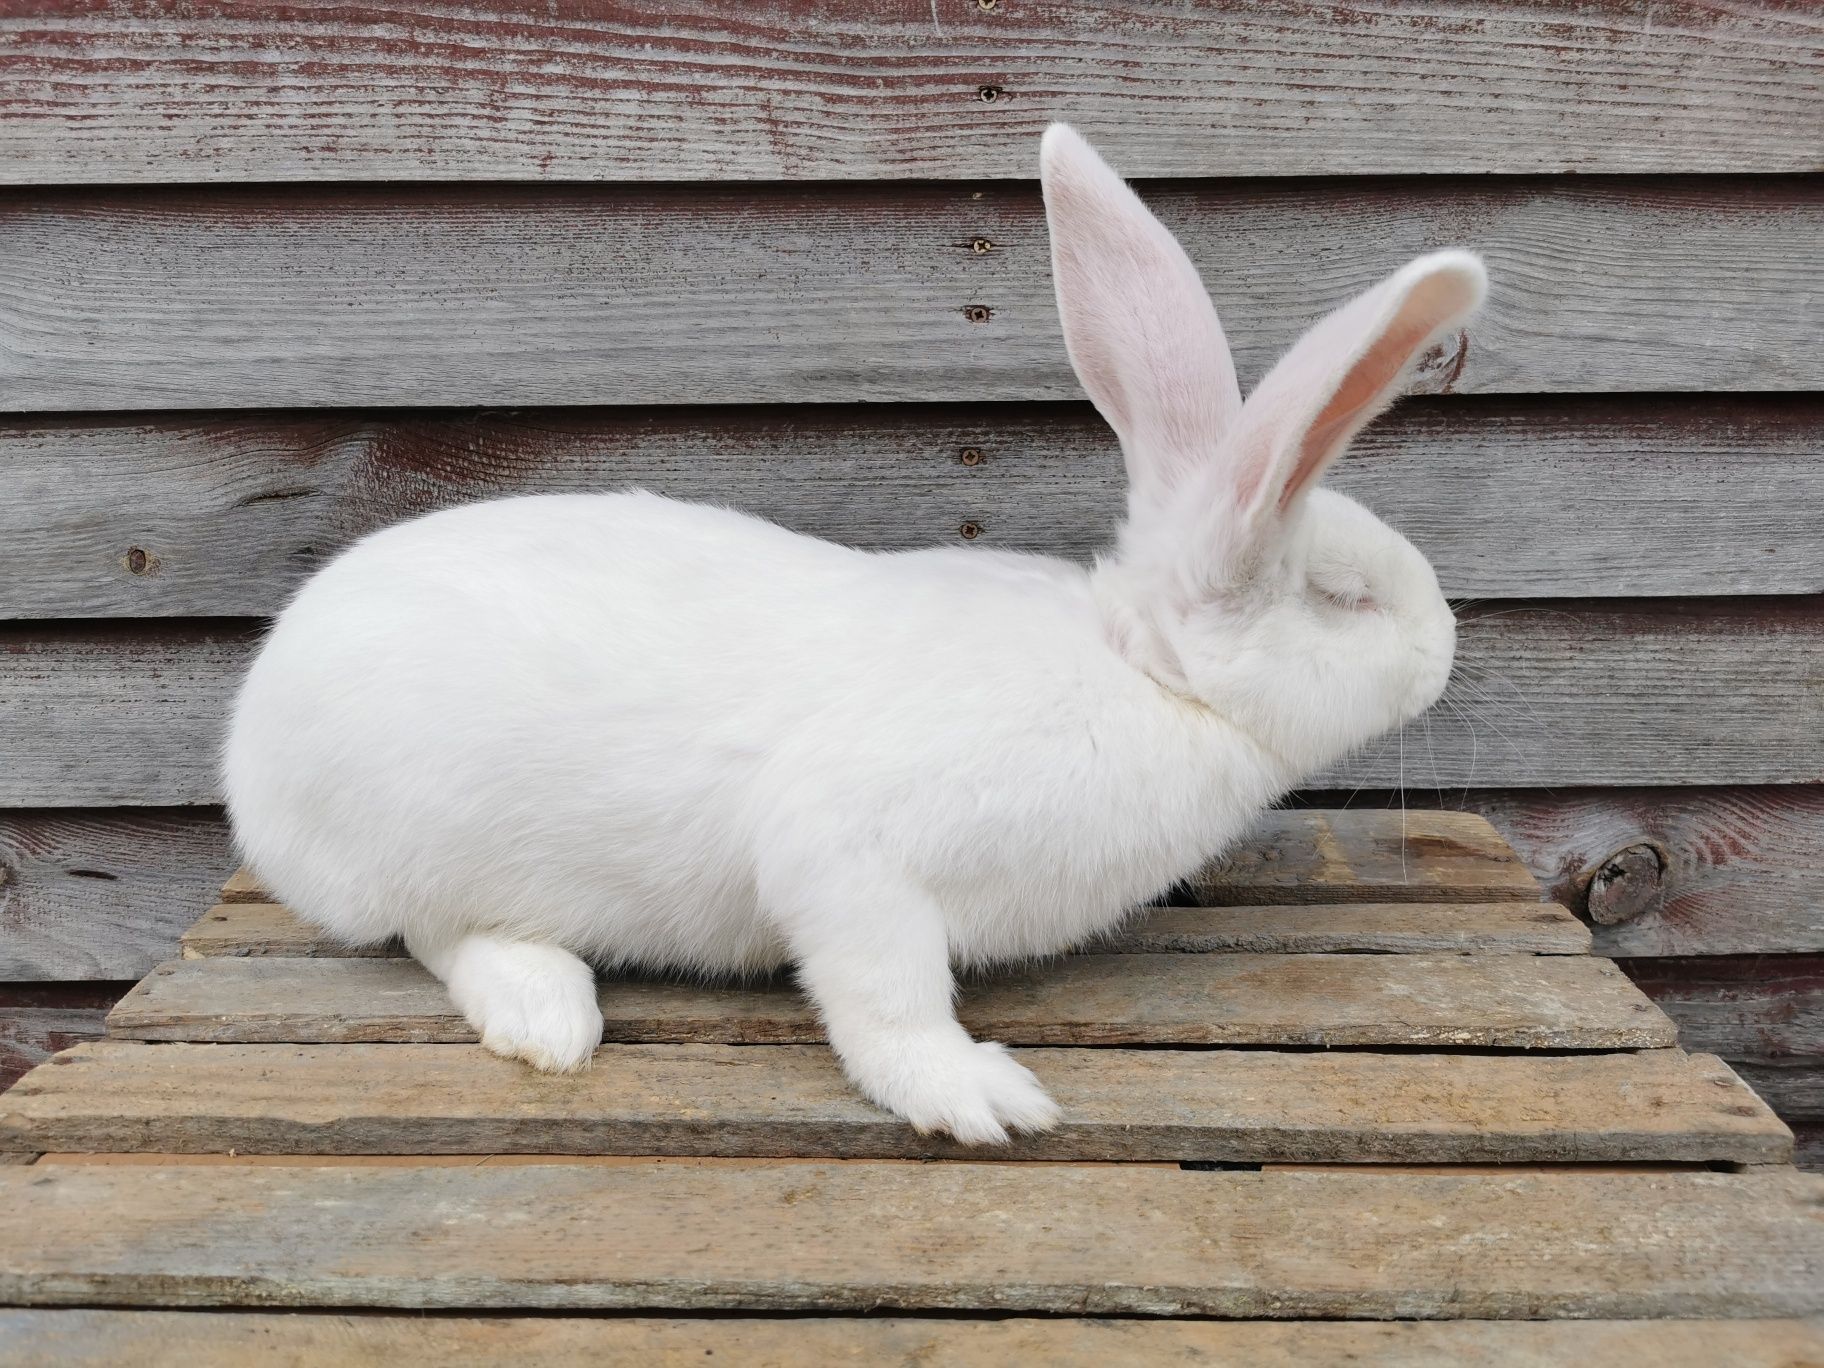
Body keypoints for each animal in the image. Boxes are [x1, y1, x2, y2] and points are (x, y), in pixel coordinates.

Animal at [224, 125, 1481, 1145]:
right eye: (1345, 597)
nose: (1447, 643)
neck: (1141, 670)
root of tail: (249, 750)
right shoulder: (850, 858)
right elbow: (888, 998)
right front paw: (974, 1095)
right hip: (418, 838)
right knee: (437, 934)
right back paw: (547, 1014)